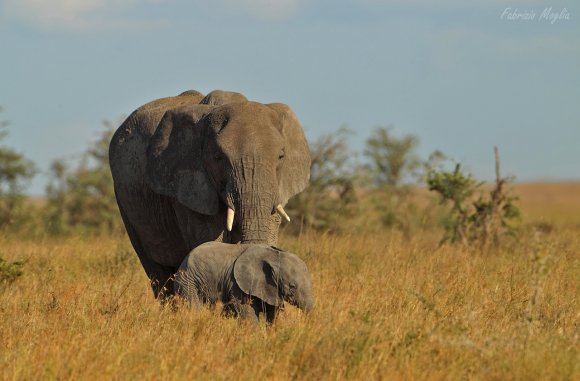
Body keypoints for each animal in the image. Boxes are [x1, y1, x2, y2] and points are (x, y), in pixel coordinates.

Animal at [107, 89, 308, 300]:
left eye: (281, 156)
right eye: (218, 158)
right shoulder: (191, 188)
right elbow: (209, 243)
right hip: (125, 201)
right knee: (158, 273)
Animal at [174, 242, 314, 322]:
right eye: (292, 287)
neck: (274, 256)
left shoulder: (270, 287)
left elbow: (272, 313)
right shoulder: (237, 284)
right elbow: (246, 311)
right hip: (186, 281)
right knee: (194, 306)